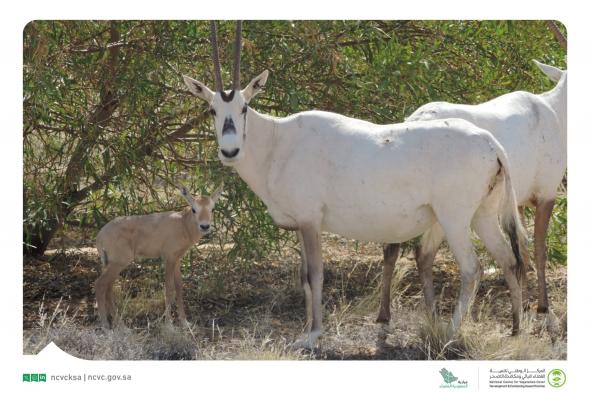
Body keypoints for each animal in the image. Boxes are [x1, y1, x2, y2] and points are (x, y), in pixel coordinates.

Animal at [96, 184, 223, 328]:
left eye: (212, 209)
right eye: (194, 209)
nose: (205, 226)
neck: (182, 224)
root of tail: (100, 236)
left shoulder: (177, 259)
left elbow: (179, 287)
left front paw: (185, 322)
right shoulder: (168, 258)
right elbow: (169, 288)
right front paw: (169, 325)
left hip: (112, 264)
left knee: (108, 288)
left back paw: (121, 327)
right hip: (118, 263)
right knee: (100, 285)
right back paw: (106, 326)